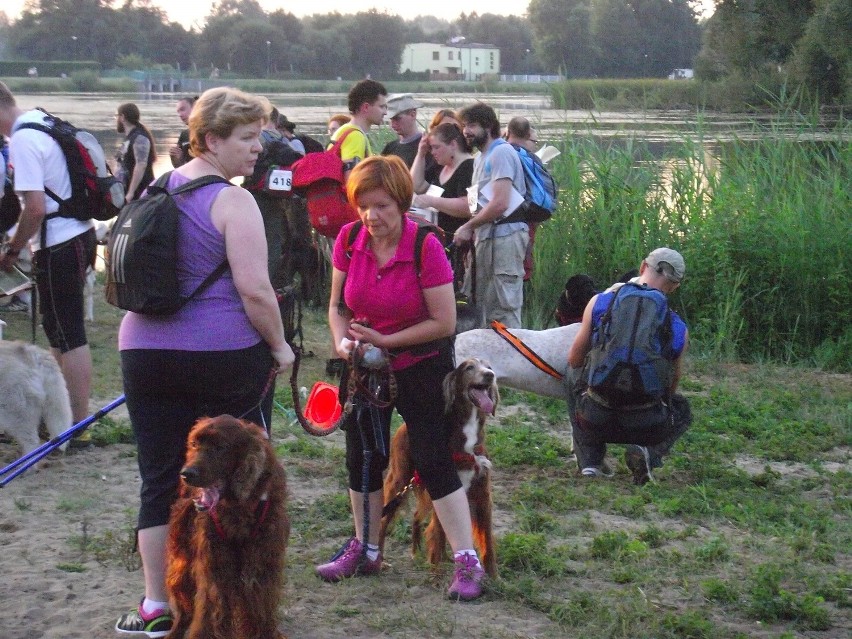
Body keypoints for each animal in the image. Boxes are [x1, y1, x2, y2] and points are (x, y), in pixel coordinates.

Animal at [165, 418, 292, 636]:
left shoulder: (261, 568)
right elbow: (207, 615)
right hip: (182, 559)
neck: (237, 509)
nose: (186, 474)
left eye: (220, 447)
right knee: (184, 608)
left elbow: (260, 612)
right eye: (194, 444)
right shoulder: (214, 569)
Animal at [380, 358, 500, 576]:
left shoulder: (483, 496)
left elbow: (487, 542)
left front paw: (494, 578)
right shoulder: (445, 484)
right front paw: (436, 572)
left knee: (417, 517)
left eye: (489, 366)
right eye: (469, 368)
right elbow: (437, 533)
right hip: (401, 479)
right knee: (383, 521)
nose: (490, 375)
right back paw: (379, 560)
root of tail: (404, 425)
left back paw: (418, 552)